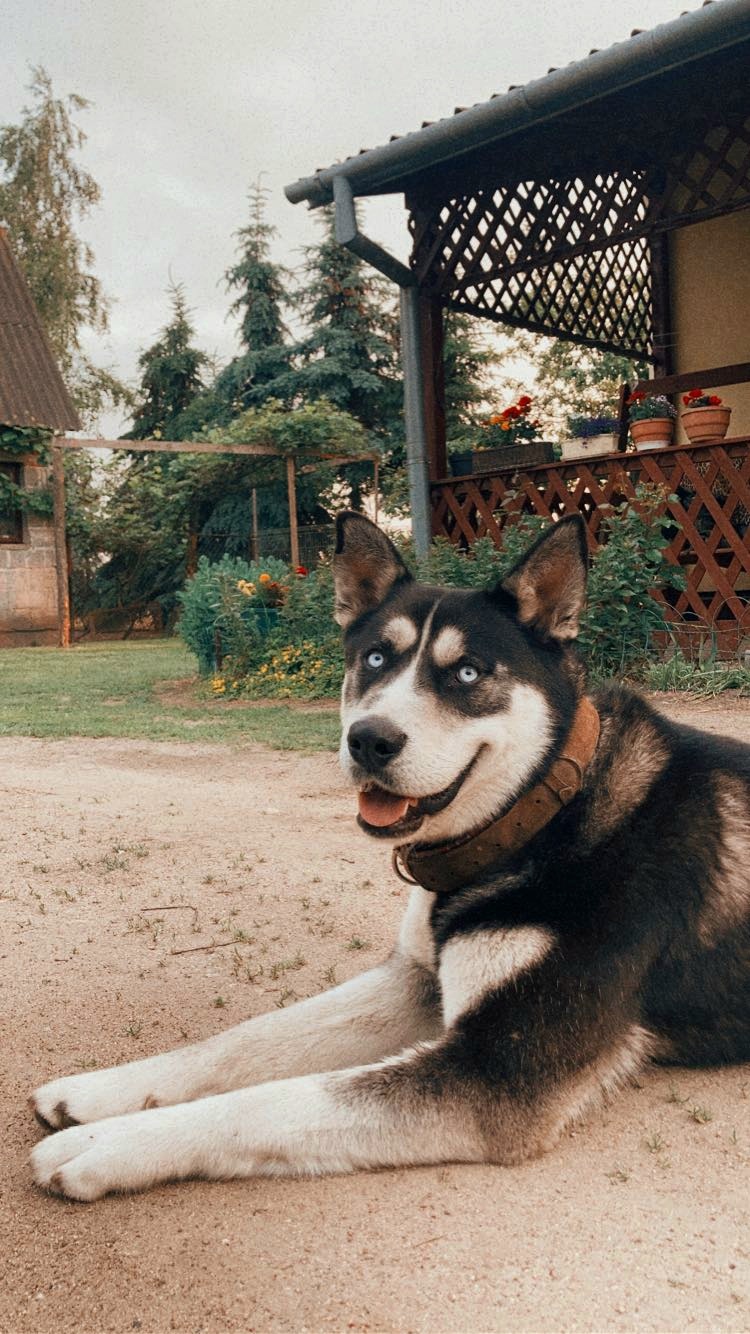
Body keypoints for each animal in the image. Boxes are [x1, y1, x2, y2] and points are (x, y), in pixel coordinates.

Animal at [31, 511, 750, 1200]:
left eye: (467, 673)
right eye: (376, 659)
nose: (369, 740)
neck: (544, 812)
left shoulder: (494, 1071)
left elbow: (273, 1101)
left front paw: (104, 1144)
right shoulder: (416, 979)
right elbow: (247, 1038)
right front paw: (99, 1091)